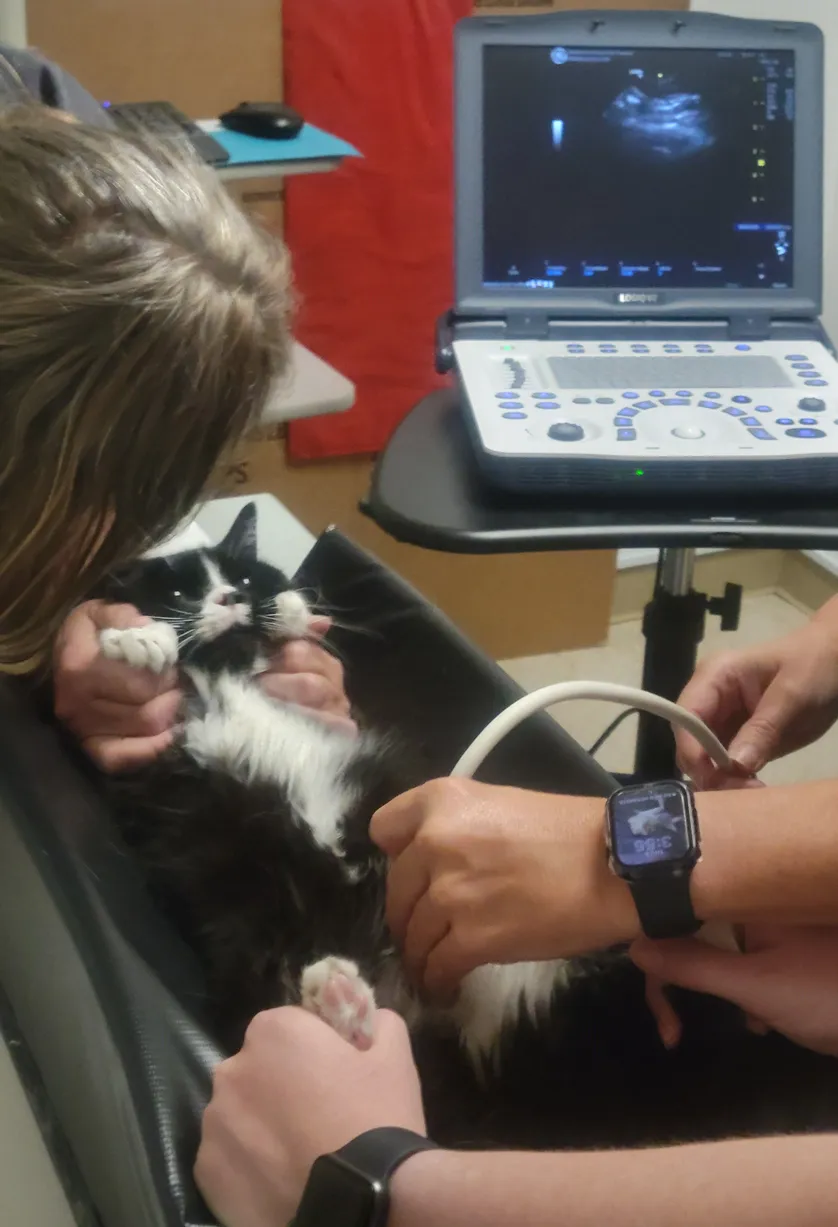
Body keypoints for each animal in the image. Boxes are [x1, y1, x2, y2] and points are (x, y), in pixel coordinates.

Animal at [96, 503, 838, 1153]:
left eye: (247, 579)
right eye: (183, 588)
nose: (232, 599)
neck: (232, 675)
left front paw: (282, 615)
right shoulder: (158, 780)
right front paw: (135, 640)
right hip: (250, 928)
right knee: (314, 1017)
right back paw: (339, 998)